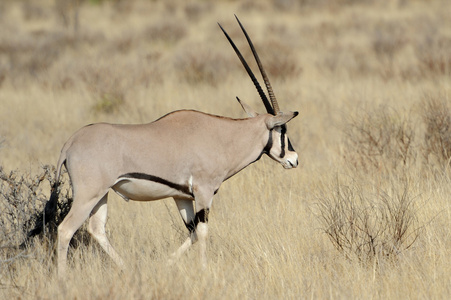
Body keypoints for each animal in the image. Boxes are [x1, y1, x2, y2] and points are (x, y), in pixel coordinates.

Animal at [46, 15, 300, 274]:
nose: (294, 159)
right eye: (282, 129)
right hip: (88, 194)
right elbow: (203, 232)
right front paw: (204, 270)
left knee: (96, 229)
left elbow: (193, 233)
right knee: (65, 229)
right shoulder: (204, 192)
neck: (224, 136)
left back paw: (128, 269)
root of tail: (70, 142)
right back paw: (63, 277)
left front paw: (167, 264)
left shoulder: (182, 196)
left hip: (102, 194)